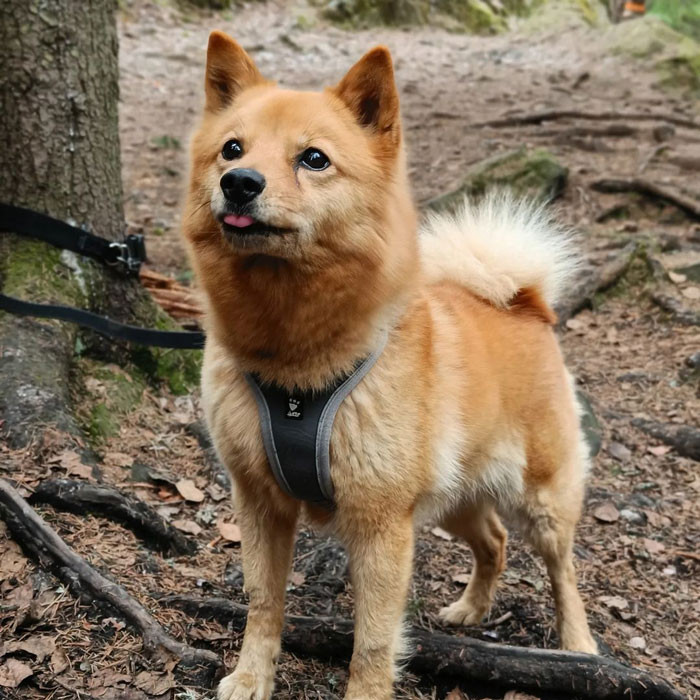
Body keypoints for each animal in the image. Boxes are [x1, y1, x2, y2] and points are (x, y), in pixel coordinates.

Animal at [182, 31, 596, 700]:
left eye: (314, 159)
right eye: (232, 149)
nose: (240, 182)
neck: (295, 360)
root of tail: (525, 303)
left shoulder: (381, 527)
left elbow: (372, 641)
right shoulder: (260, 504)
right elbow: (263, 602)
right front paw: (250, 676)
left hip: (543, 500)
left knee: (562, 569)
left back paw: (580, 647)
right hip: (457, 499)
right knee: (495, 542)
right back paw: (471, 609)